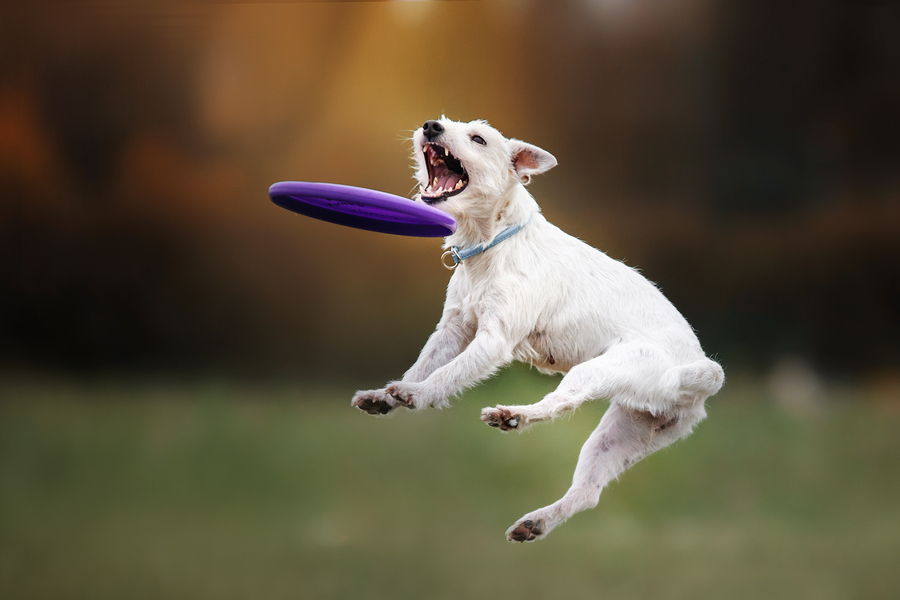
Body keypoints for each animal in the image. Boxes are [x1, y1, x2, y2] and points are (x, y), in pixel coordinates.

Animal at [352, 117, 724, 544]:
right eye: (444, 123)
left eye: (478, 139)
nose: (431, 127)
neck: (492, 242)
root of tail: (690, 375)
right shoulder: (452, 331)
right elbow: (421, 366)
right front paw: (384, 396)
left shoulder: (492, 341)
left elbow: (446, 375)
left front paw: (417, 394)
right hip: (625, 432)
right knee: (587, 492)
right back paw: (536, 522)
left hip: (600, 370)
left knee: (559, 403)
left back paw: (513, 416)